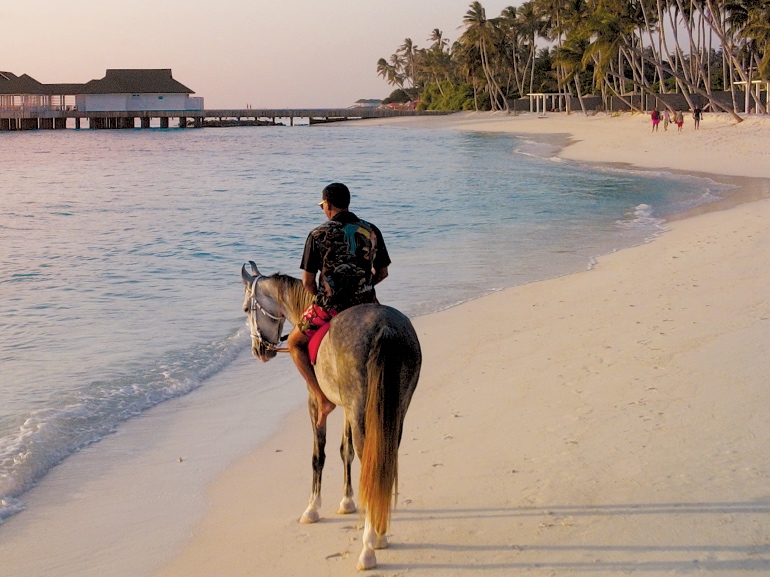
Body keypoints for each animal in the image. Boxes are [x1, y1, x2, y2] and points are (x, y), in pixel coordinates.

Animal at [241, 261, 421, 570]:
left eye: (245, 309)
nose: (259, 350)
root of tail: (384, 327)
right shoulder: (350, 409)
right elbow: (344, 451)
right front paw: (347, 501)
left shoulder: (315, 403)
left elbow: (319, 455)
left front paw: (313, 507)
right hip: (392, 409)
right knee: (384, 458)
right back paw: (379, 531)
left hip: (363, 412)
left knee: (369, 460)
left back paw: (369, 545)